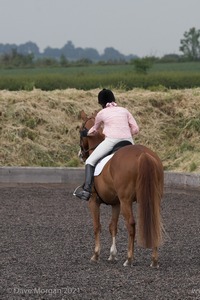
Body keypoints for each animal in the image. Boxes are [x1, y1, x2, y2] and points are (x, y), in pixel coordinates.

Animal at [76, 109, 165, 268]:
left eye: (81, 130)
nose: (81, 155)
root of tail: (143, 154)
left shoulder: (94, 201)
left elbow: (97, 226)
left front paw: (96, 255)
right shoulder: (115, 203)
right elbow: (113, 226)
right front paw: (112, 255)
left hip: (126, 201)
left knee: (131, 224)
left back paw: (129, 259)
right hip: (152, 198)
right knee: (154, 222)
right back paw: (154, 260)